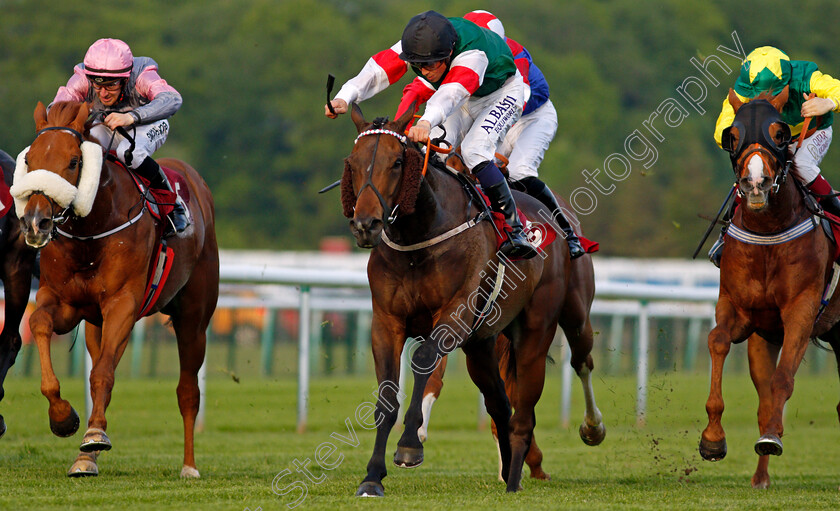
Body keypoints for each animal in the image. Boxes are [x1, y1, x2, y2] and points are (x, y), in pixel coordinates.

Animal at [342, 103, 604, 496]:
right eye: (354, 163)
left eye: (397, 163)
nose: (365, 225)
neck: (420, 237)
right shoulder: (386, 322)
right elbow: (389, 394)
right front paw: (373, 476)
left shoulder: (454, 314)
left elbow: (424, 360)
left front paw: (409, 445)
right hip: (481, 347)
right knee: (501, 402)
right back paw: (511, 467)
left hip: (555, 321)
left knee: (573, 368)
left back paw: (575, 438)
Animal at [700, 86, 840, 490]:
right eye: (732, 136)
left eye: (779, 133)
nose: (755, 183)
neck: (768, 233)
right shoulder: (740, 311)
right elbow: (718, 341)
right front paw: (712, 440)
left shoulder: (802, 311)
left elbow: (784, 379)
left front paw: (772, 437)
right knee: (763, 399)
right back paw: (760, 478)